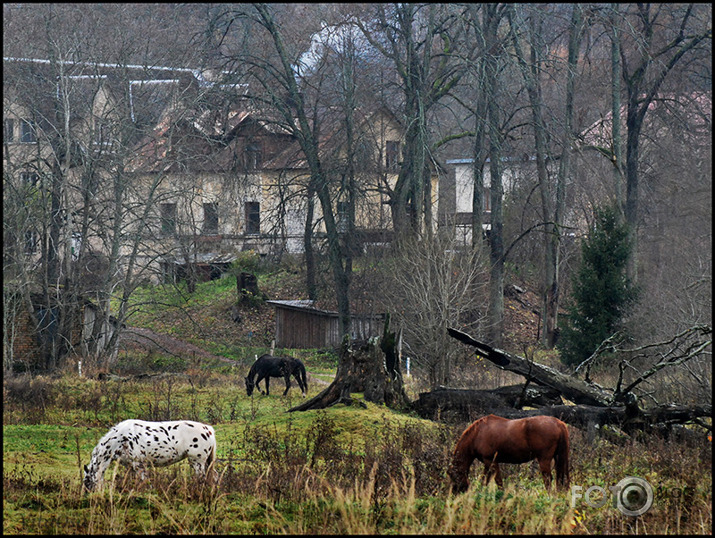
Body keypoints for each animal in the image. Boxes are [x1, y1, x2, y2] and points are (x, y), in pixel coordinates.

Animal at [83, 418, 215, 490]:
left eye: (87, 482)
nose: (91, 498)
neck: (120, 439)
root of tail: (208, 430)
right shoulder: (130, 466)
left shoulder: (139, 464)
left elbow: (145, 482)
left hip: (197, 462)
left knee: (202, 479)